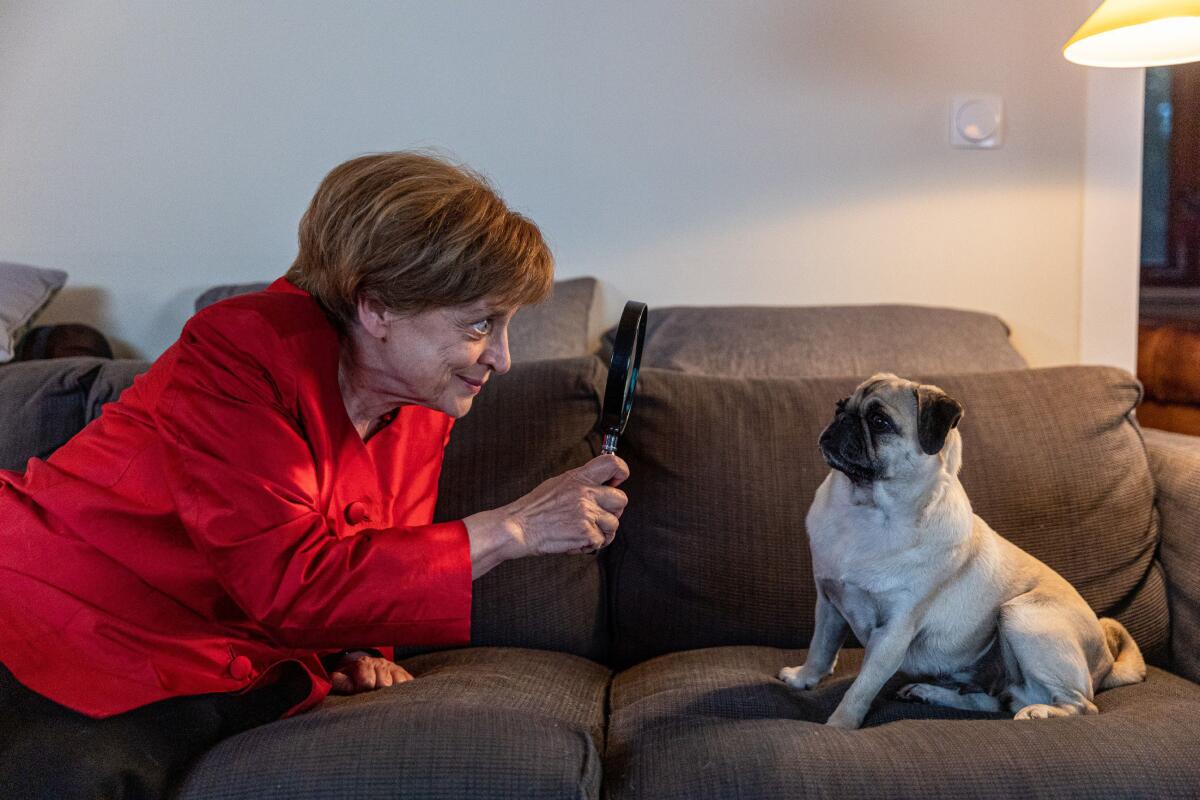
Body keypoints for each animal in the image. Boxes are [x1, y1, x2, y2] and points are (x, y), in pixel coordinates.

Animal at [777, 371, 1142, 729]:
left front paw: (838, 726)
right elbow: (821, 647)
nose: (842, 420)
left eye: (880, 421)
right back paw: (931, 693)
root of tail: (1105, 663)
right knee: (997, 700)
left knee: (1081, 705)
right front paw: (804, 678)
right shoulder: (828, 602)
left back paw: (1040, 712)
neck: (867, 510)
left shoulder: (894, 632)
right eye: (840, 407)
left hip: (1022, 616)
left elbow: (860, 689)